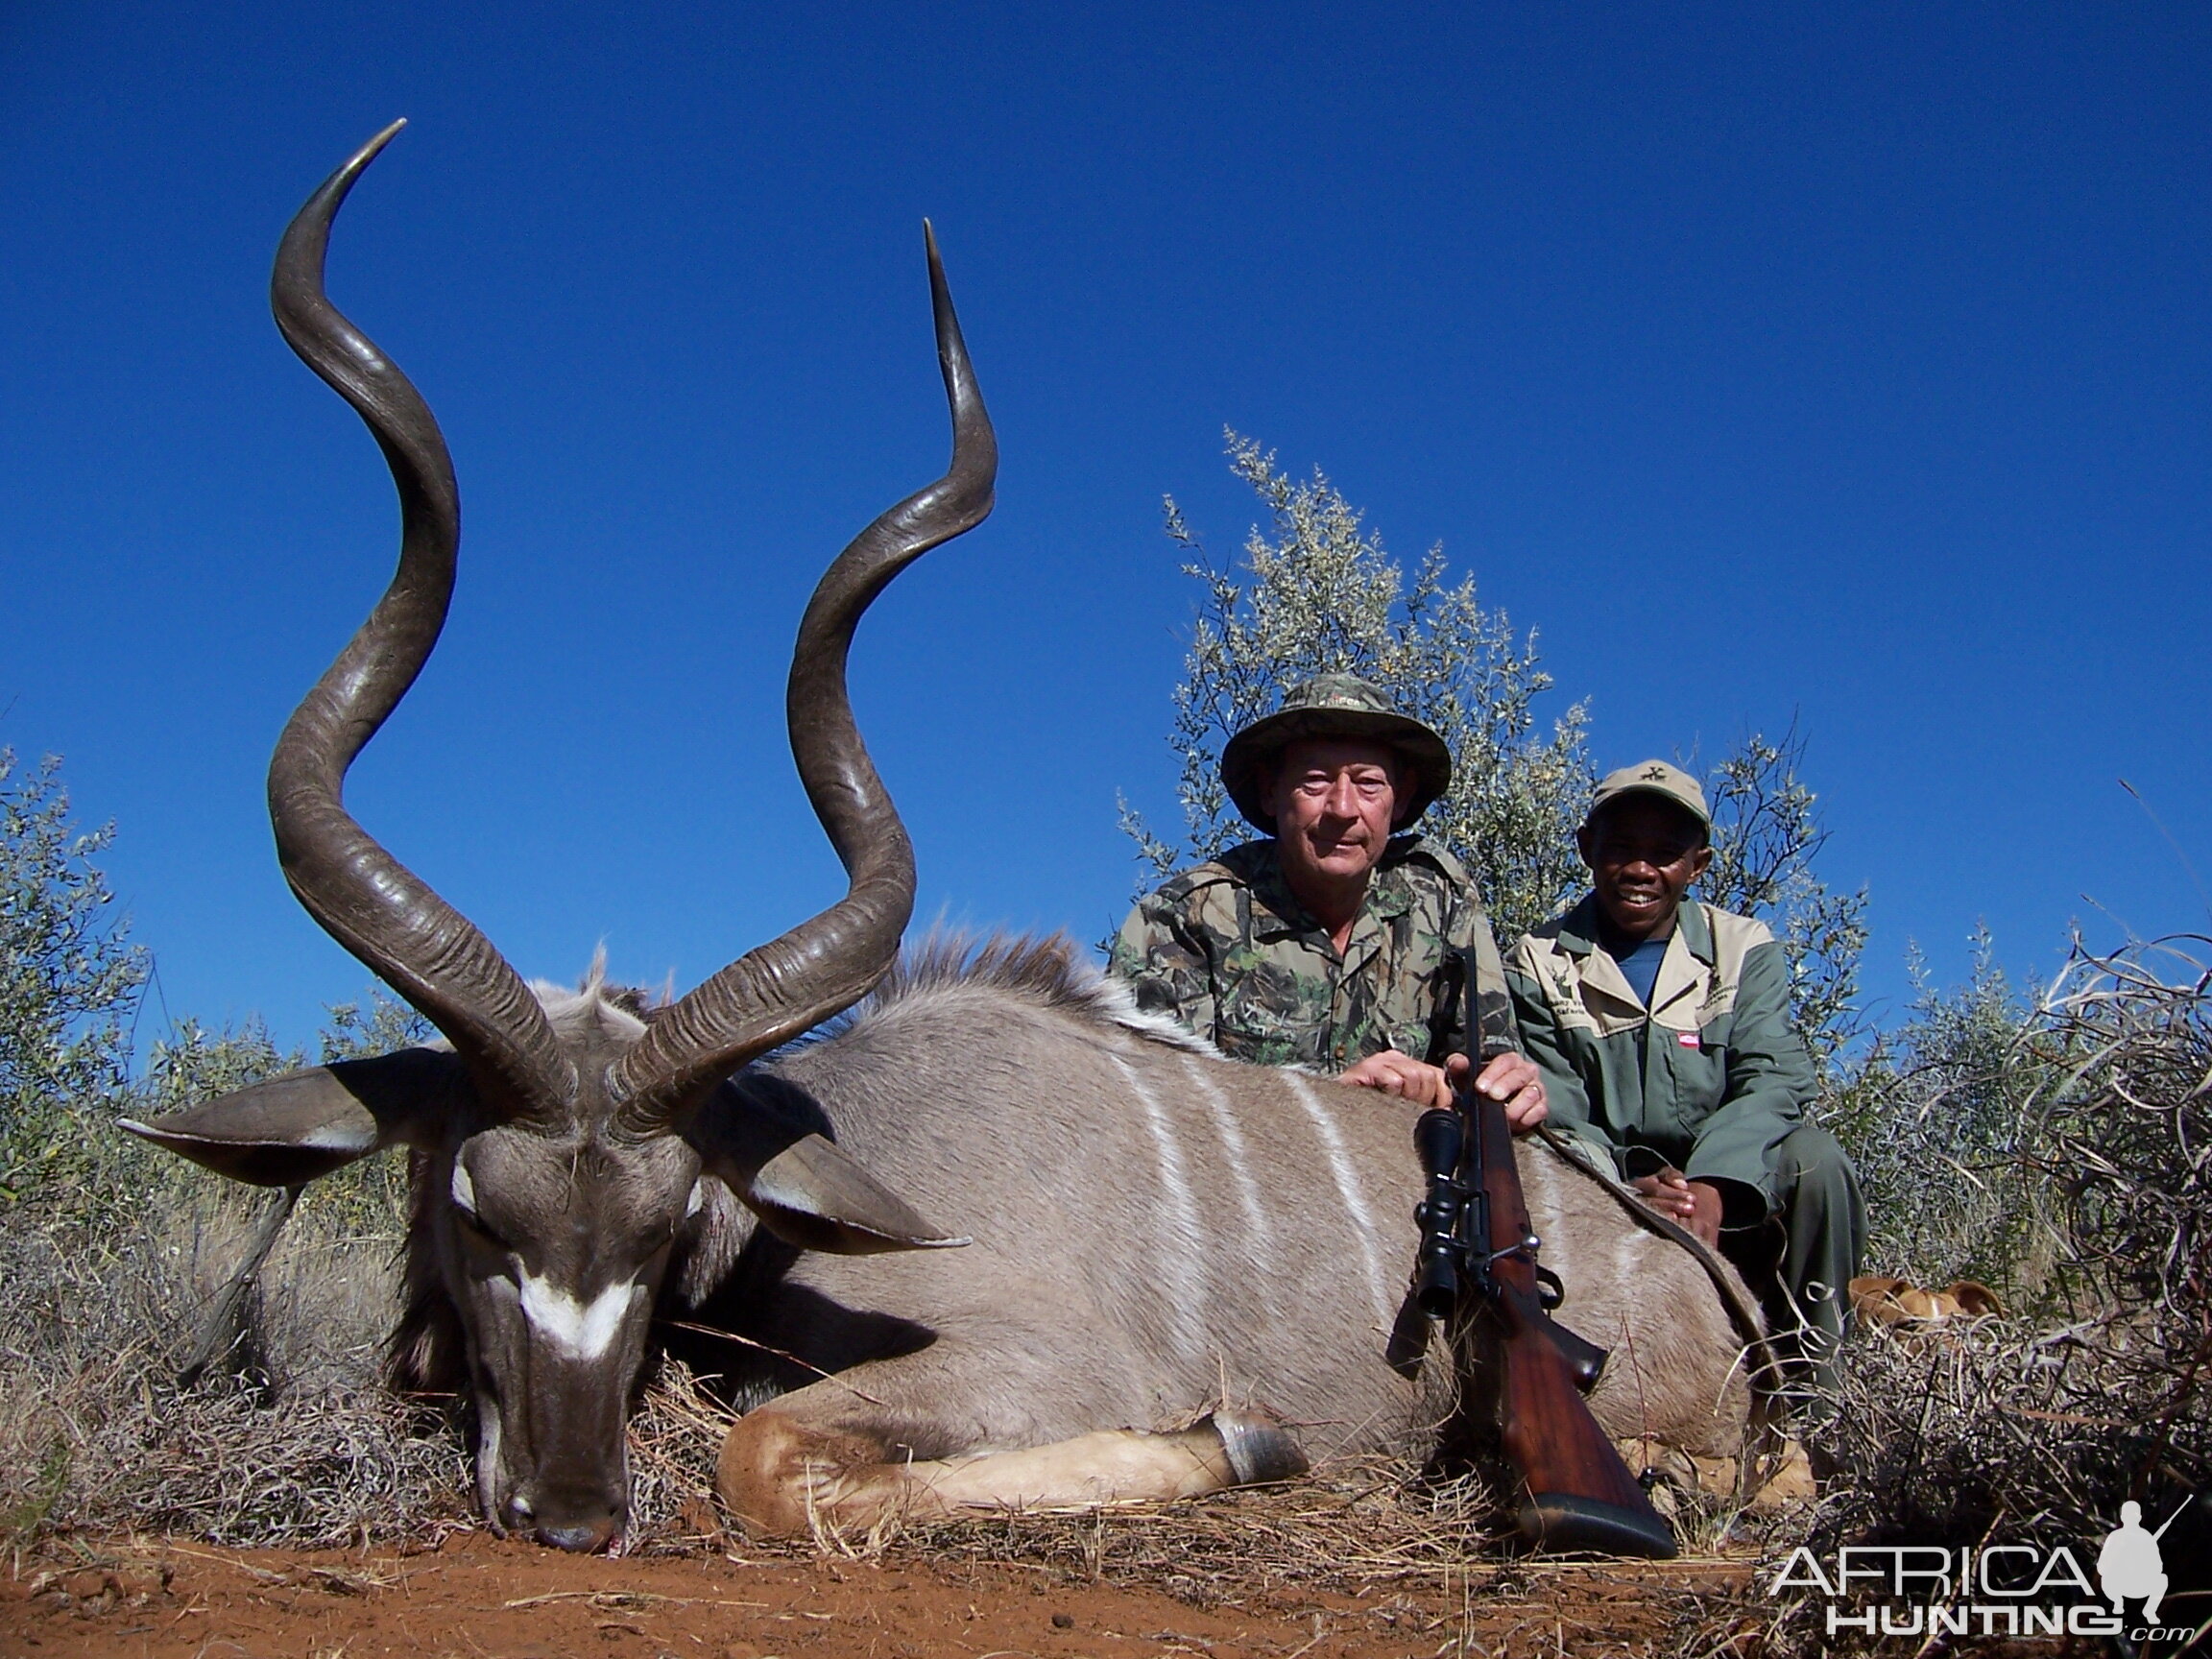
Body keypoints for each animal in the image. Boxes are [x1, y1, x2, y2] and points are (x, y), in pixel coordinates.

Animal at [129, 126, 1769, 1557]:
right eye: (477, 1212)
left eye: (664, 1234)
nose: (573, 1513)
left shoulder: (1038, 1358)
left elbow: (762, 1450)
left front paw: (1239, 1441)